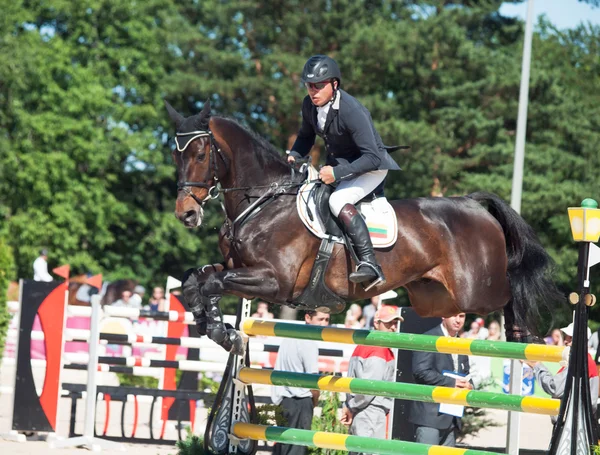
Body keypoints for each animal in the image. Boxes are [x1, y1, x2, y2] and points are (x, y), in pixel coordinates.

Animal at [165, 102, 564, 352]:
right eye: (174, 154)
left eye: (200, 154)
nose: (186, 214)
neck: (264, 200)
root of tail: (472, 203)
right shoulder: (238, 267)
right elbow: (196, 278)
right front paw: (212, 325)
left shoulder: (274, 280)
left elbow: (212, 282)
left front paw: (222, 332)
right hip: (436, 298)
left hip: (476, 291)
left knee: (511, 291)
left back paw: (524, 335)